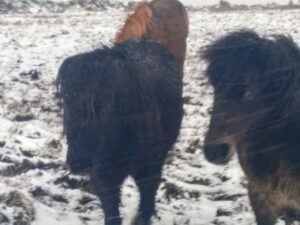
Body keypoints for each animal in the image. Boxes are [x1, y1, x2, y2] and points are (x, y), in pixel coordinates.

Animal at [56, 37, 183, 224]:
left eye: (106, 104)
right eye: (66, 102)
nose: (79, 164)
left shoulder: (149, 166)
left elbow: (147, 198)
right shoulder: (103, 175)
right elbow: (111, 210)